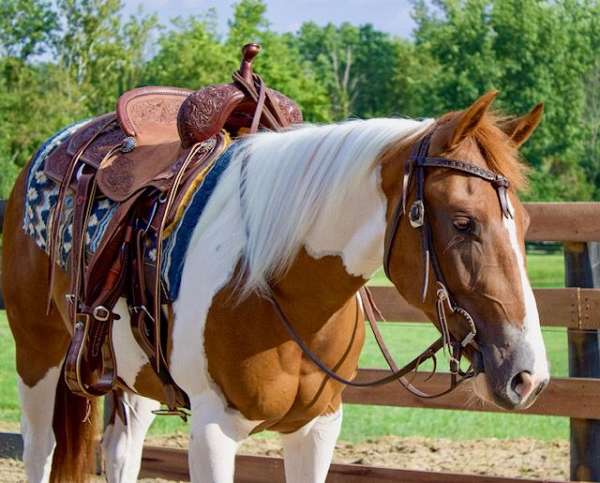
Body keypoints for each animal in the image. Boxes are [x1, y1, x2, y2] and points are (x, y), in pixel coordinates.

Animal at [1, 89, 548, 482]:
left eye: (523, 224)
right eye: (463, 222)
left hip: (130, 375)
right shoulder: (213, 431)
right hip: (38, 352)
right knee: (40, 448)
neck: (281, 286)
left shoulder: (318, 428)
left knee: (121, 450)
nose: (529, 377)